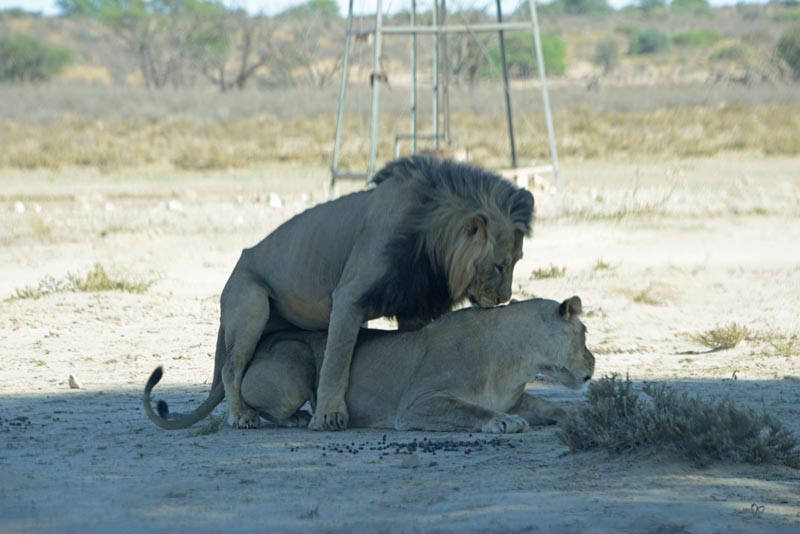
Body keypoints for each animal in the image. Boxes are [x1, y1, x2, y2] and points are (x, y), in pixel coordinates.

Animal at [144, 296, 595, 432]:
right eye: (586, 334)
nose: (594, 361)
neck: (519, 361)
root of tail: (267, 339)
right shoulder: (416, 404)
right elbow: (470, 411)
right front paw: (500, 423)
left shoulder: (517, 397)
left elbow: (551, 406)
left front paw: (574, 416)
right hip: (295, 361)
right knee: (257, 404)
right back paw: (293, 418)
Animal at [189, 155, 534, 431]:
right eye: (500, 265)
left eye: (518, 261)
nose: (504, 299)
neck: (430, 242)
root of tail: (237, 266)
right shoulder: (347, 297)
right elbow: (336, 361)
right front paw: (328, 417)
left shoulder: (413, 308)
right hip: (252, 303)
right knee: (231, 368)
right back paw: (241, 416)